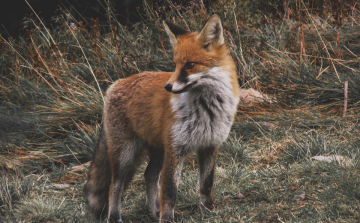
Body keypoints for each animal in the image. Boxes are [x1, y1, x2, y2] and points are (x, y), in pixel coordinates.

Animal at [85, 14, 239, 222]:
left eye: (190, 65)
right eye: (175, 65)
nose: (168, 87)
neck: (207, 109)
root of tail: (116, 84)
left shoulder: (210, 145)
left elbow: (206, 184)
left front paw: (208, 211)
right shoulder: (175, 149)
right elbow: (169, 191)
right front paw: (166, 219)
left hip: (158, 150)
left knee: (149, 175)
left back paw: (154, 212)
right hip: (125, 154)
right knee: (114, 185)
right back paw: (115, 217)